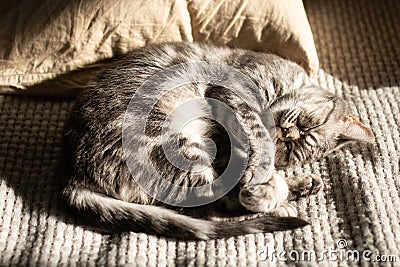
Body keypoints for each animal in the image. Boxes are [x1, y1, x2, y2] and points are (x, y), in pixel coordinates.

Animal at [62, 42, 376, 241]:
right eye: (308, 126)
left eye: (292, 150)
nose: (288, 134)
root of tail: (72, 178)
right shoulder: (235, 92)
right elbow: (258, 138)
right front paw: (267, 177)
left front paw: (275, 177)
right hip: (178, 146)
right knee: (214, 206)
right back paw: (279, 197)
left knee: (215, 203)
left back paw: (295, 187)